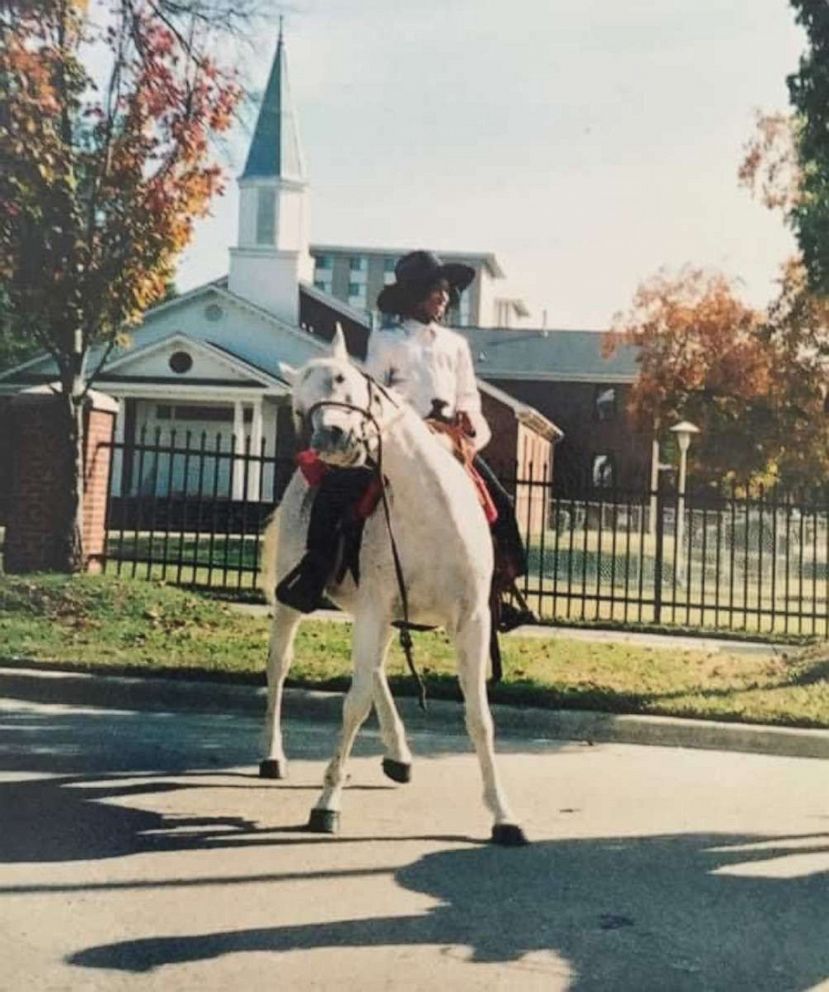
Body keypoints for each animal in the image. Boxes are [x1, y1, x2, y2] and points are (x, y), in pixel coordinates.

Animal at [258, 332, 528, 844]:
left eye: (341, 378)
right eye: (298, 408)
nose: (327, 440)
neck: (430, 509)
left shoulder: (471, 620)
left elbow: (479, 717)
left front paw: (504, 815)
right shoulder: (374, 609)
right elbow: (353, 704)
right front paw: (326, 802)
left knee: (377, 669)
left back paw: (399, 755)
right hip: (298, 607)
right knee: (280, 666)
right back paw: (273, 756)